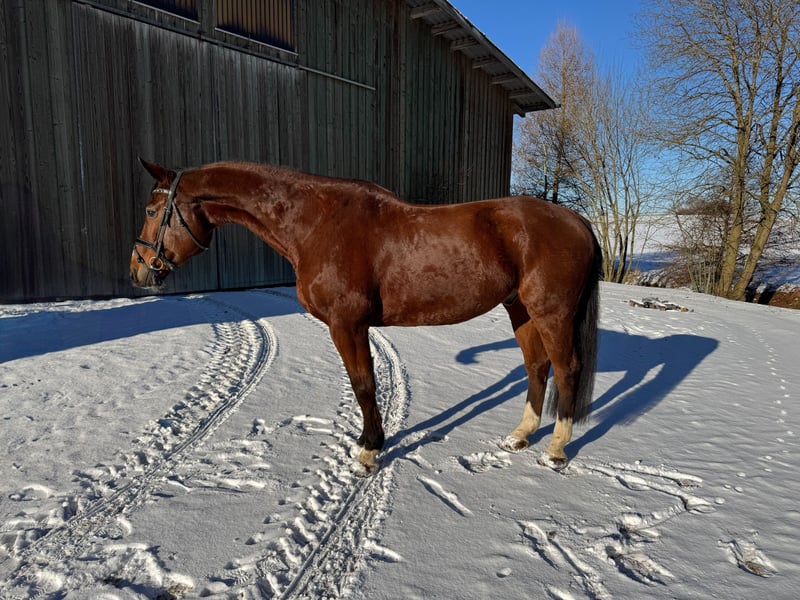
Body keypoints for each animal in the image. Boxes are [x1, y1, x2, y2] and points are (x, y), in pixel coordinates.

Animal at [131, 160, 602, 473]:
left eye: (152, 212)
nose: (137, 270)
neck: (317, 223)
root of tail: (575, 219)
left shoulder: (348, 326)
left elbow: (363, 385)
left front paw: (369, 451)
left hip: (551, 312)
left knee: (566, 368)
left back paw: (556, 449)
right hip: (520, 309)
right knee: (537, 366)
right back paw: (519, 436)